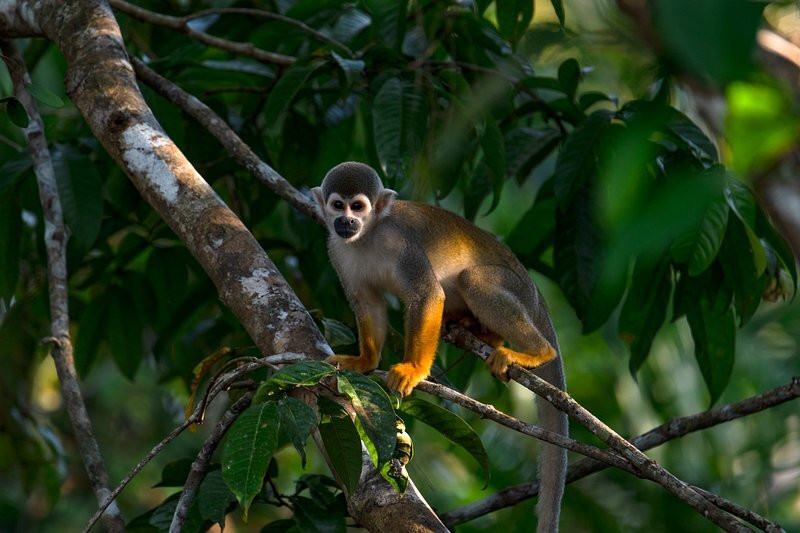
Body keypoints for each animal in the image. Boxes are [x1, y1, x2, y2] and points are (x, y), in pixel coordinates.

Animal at [310, 161, 564, 528]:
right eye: (337, 205)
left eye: (357, 206)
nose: (346, 222)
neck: (367, 238)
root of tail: (534, 291)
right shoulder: (337, 251)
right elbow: (368, 304)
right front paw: (364, 361)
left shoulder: (401, 244)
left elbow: (427, 295)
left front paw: (414, 369)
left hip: (516, 287)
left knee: (473, 280)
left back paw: (537, 352)